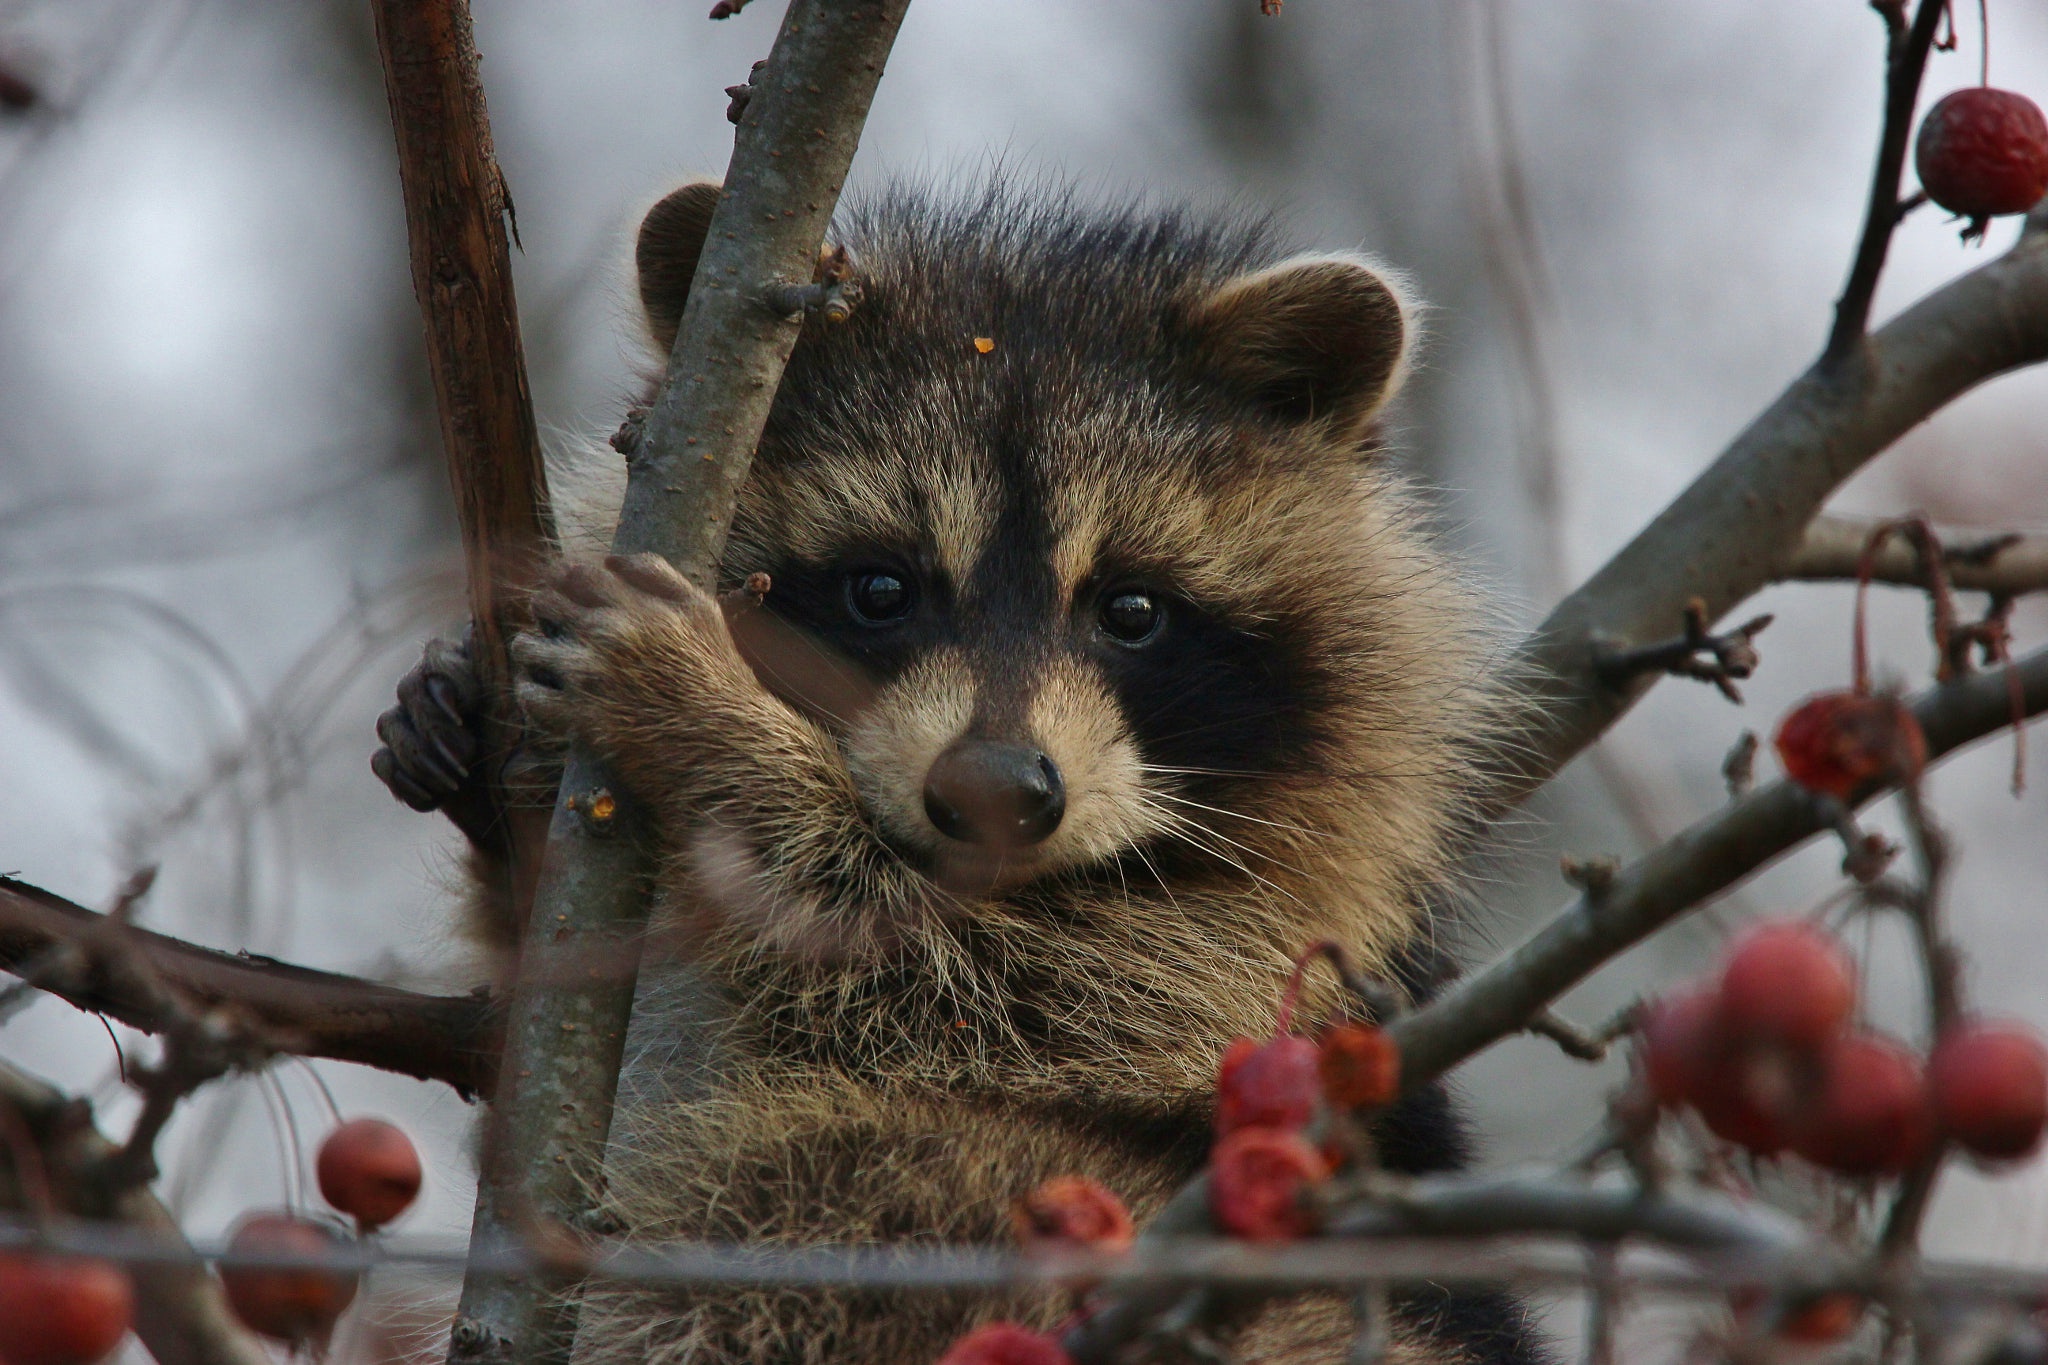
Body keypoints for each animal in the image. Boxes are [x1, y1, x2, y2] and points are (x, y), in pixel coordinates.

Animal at [376, 181, 1540, 1365]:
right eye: (879, 590)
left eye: (1131, 610)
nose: (996, 794)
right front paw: (476, 766)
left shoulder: (1239, 954)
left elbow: (950, 976)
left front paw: (712, 722)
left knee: (818, 1180)